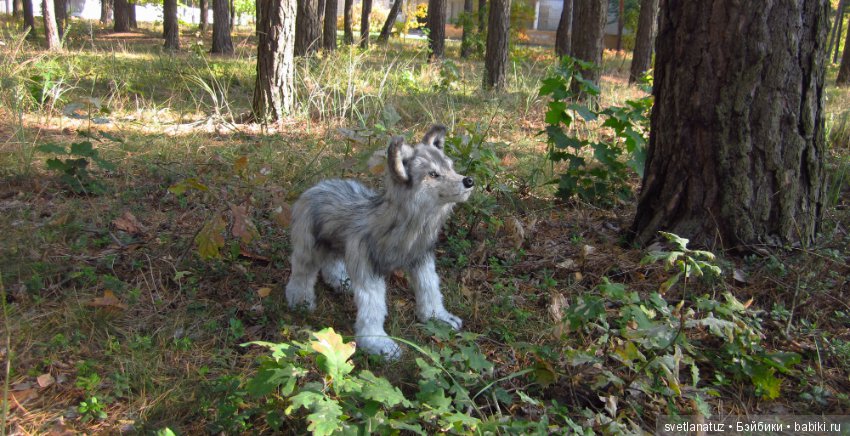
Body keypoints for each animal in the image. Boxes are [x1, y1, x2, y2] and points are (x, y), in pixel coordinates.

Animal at [285, 125, 474, 358]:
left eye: (451, 167)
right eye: (433, 174)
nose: (469, 181)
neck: (406, 229)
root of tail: (317, 186)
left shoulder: (421, 260)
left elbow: (430, 289)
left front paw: (438, 317)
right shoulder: (367, 268)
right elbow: (373, 307)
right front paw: (377, 343)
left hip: (337, 244)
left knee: (331, 262)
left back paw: (341, 281)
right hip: (309, 248)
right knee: (302, 273)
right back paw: (300, 300)